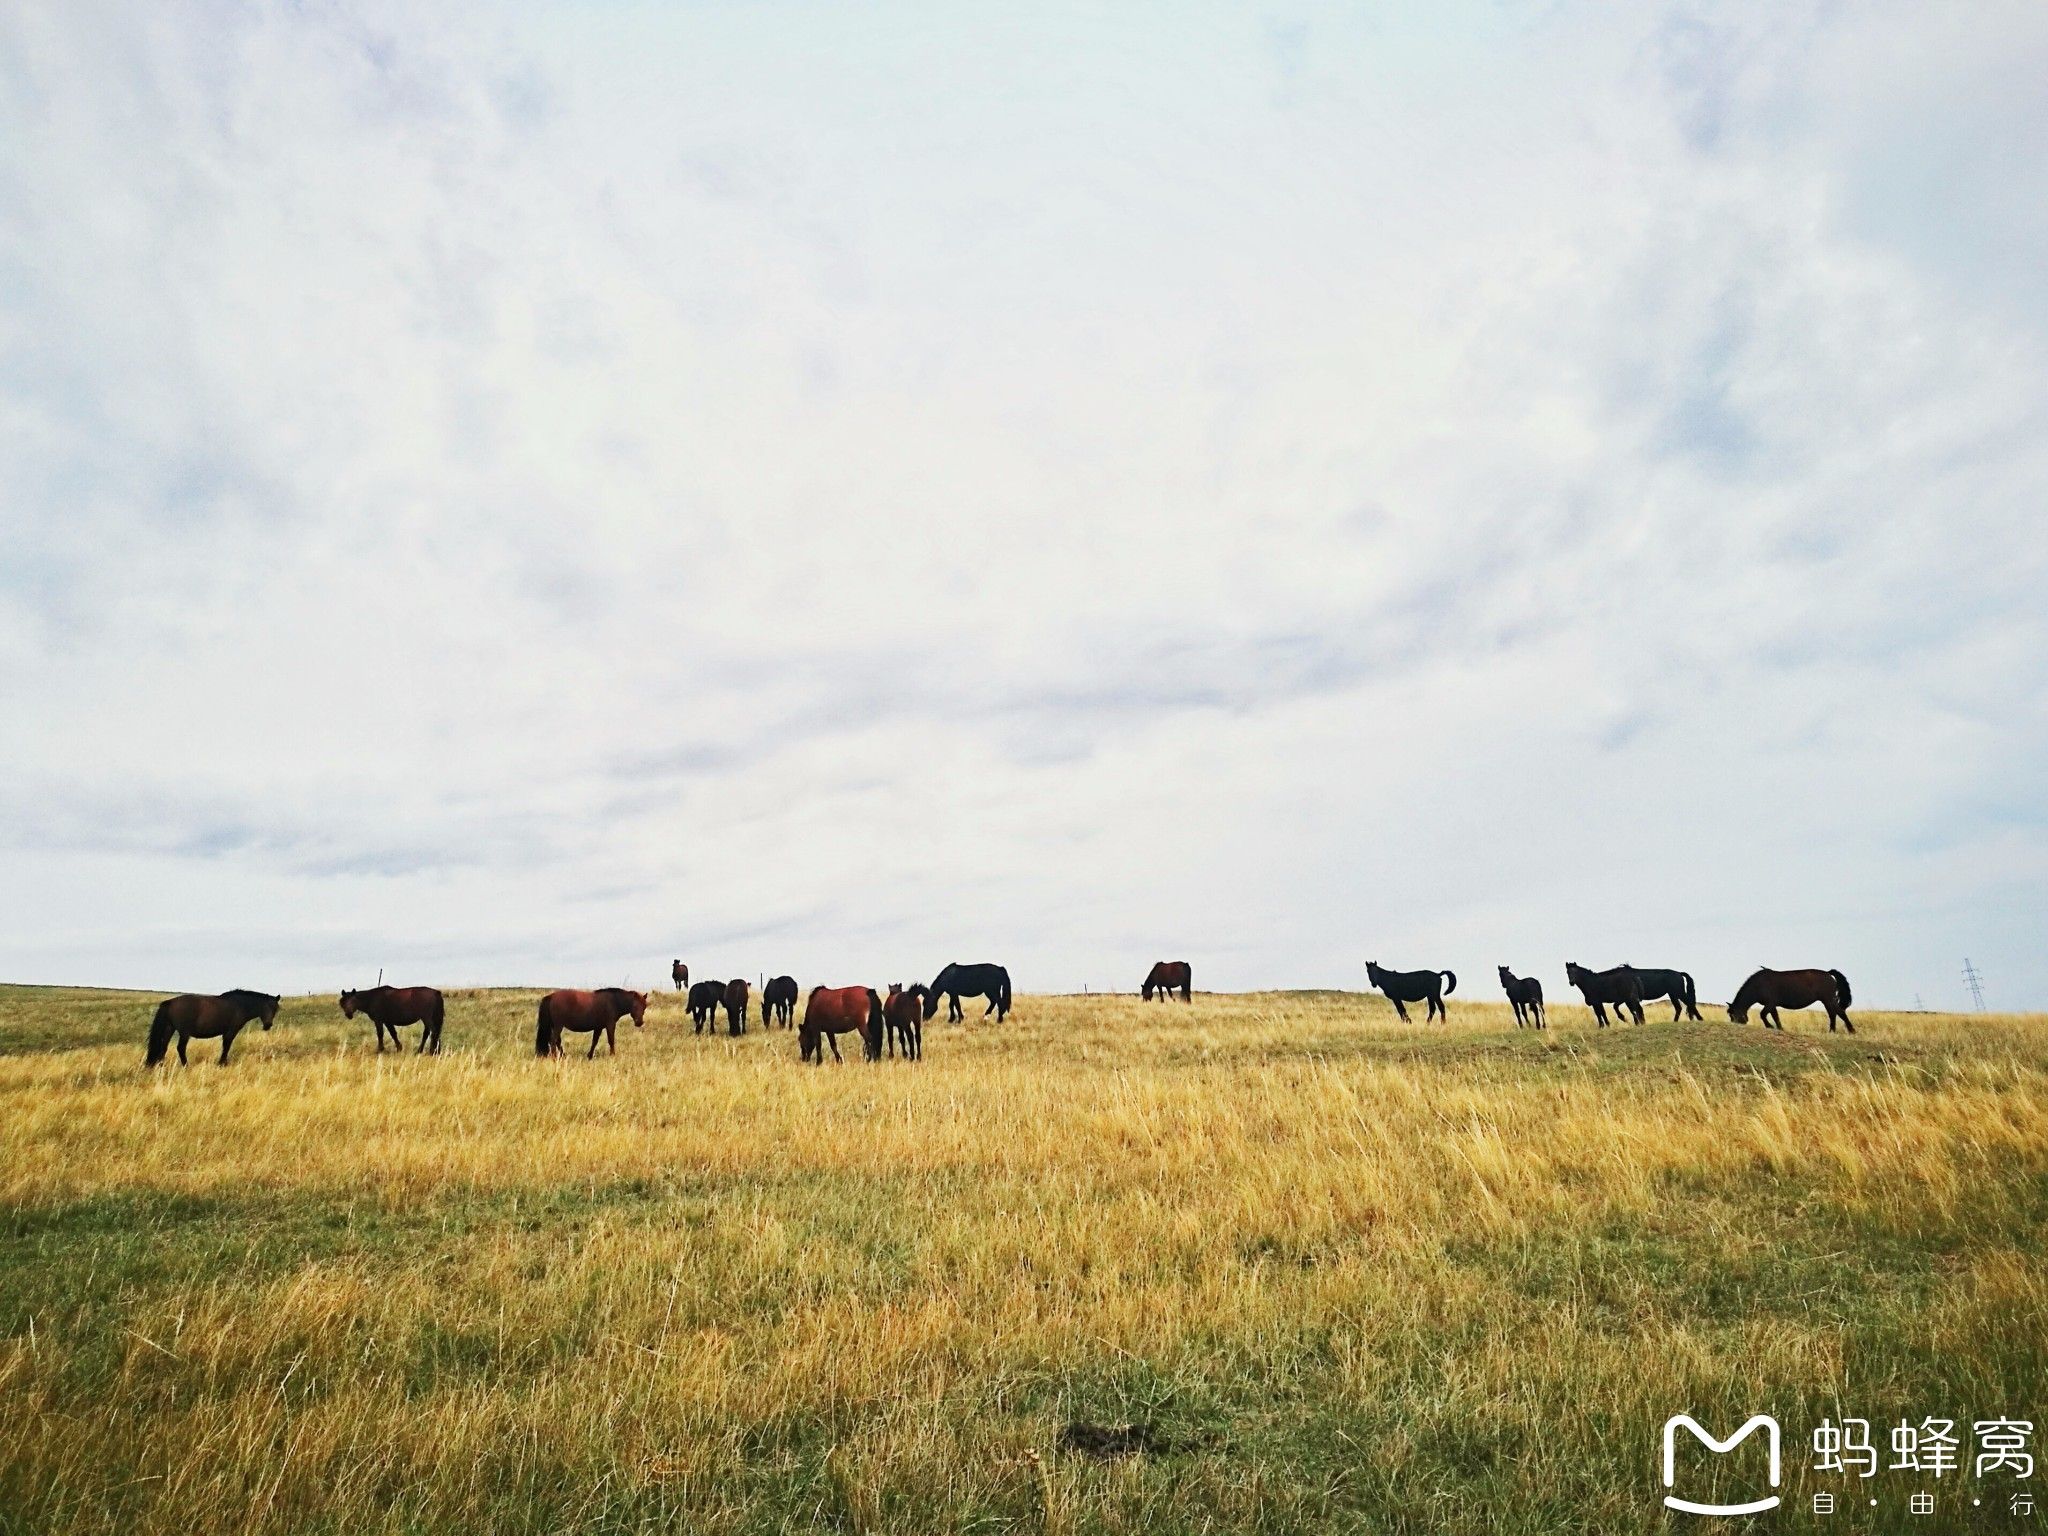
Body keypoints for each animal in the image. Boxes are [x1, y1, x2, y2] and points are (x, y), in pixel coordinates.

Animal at [145, 991, 280, 1064]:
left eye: (275, 1009)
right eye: (265, 1007)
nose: (268, 1025)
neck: (239, 1005)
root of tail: (170, 1002)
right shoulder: (231, 1031)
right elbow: (226, 1047)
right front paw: (222, 1063)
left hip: (169, 1028)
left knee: (163, 1048)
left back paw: (160, 1065)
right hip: (184, 1033)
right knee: (180, 1048)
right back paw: (185, 1066)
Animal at [1728, 974, 1859, 1036]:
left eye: (1732, 1014)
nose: (1736, 1023)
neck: (1758, 985)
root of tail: (1828, 973)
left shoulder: (1770, 1003)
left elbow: (1763, 1014)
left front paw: (1770, 1026)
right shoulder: (1772, 1005)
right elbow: (1775, 1016)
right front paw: (1779, 1028)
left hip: (1828, 999)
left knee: (1840, 1012)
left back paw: (1852, 1031)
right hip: (1826, 1001)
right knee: (1832, 1014)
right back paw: (1832, 1031)